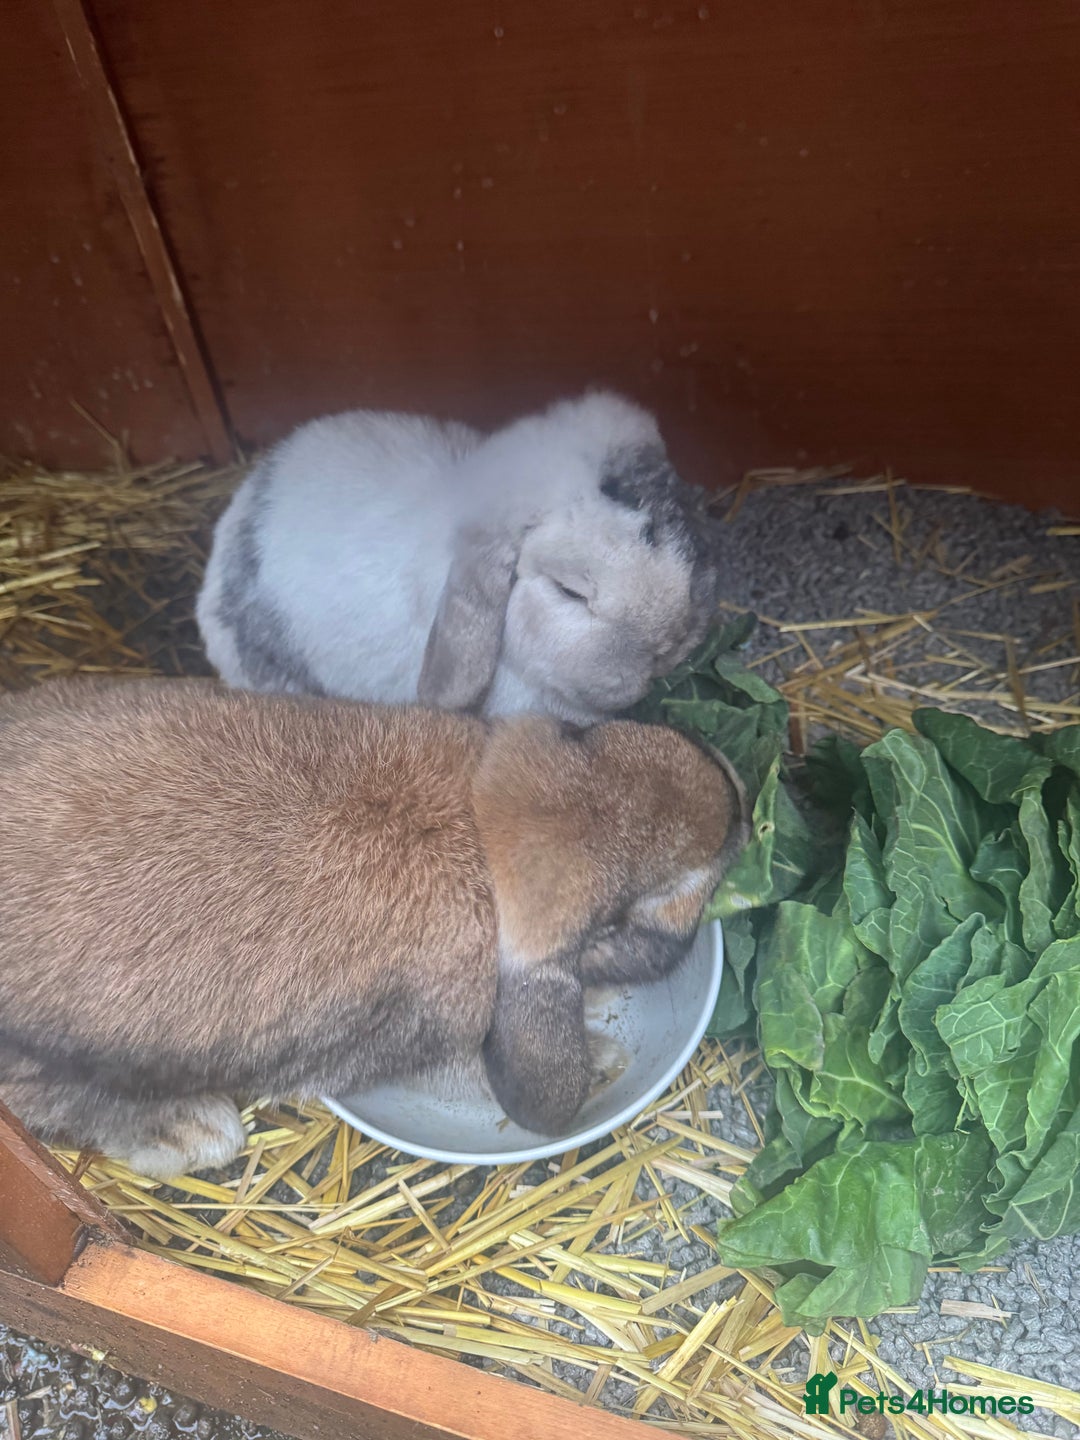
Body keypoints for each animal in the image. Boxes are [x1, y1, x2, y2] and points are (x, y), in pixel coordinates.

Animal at [0, 677, 749, 1180]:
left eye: (579, 734)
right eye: (624, 915)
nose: (733, 793)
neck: (480, 826)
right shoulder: (436, 1036)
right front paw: (604, 1055)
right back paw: (195, 1131)